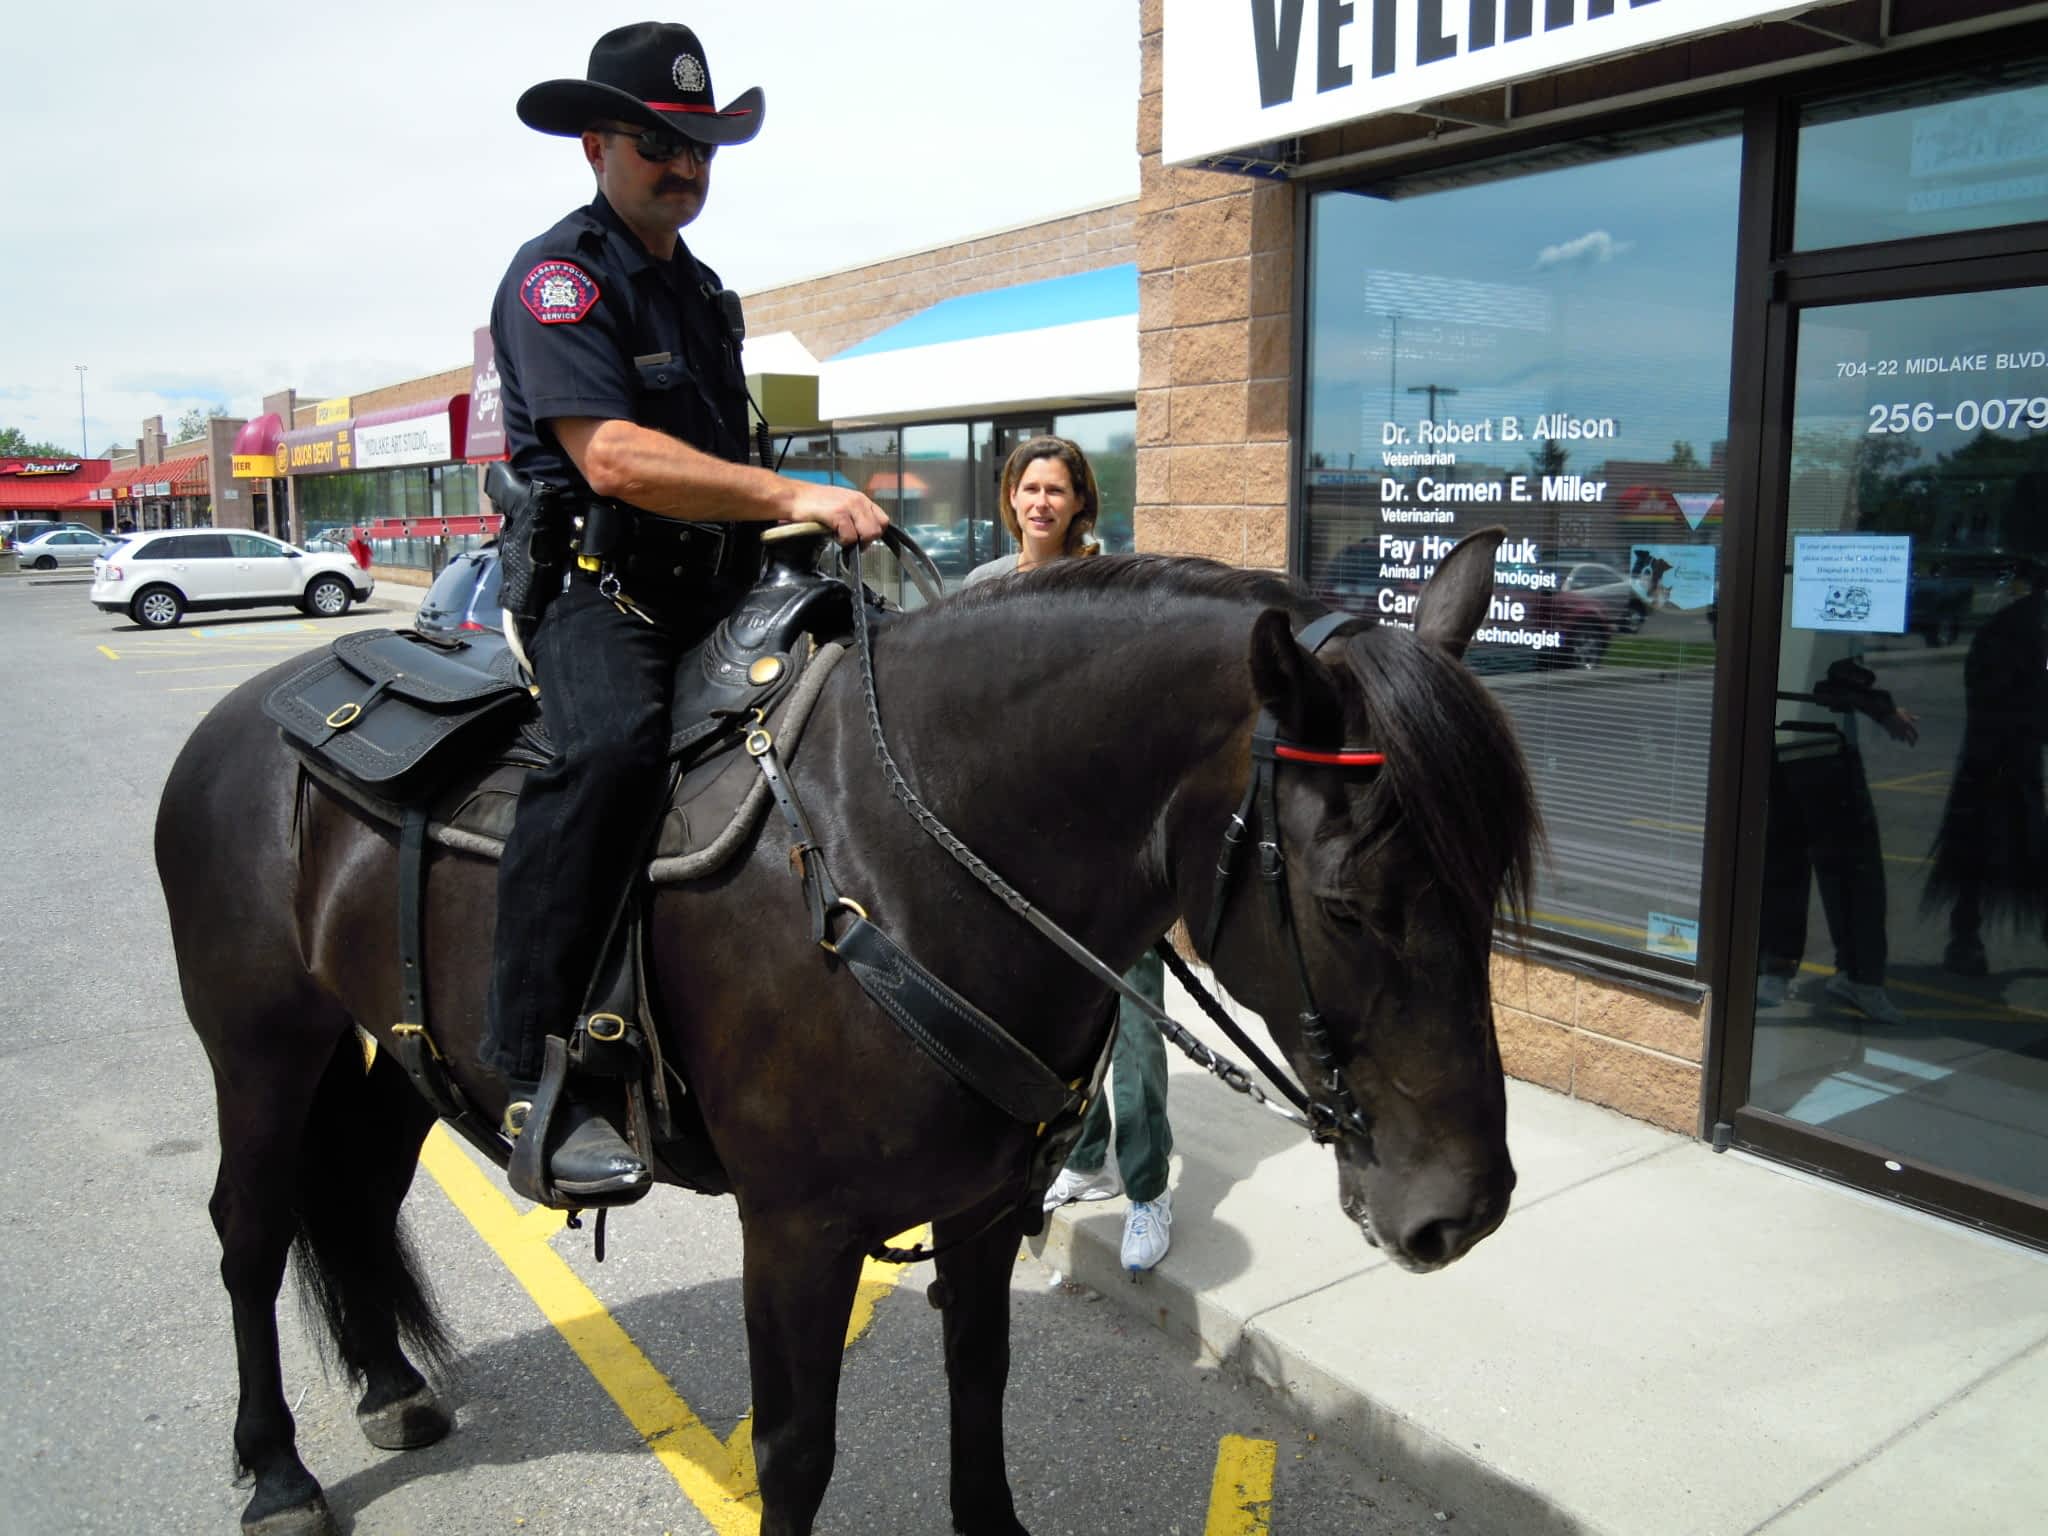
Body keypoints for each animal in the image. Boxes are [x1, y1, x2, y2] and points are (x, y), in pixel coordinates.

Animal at [159, 532, 1540, 1536]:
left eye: (1488, 885)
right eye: (1346, 903)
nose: (1461, 1211)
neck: (908, 863)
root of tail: (249, 711)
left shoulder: (982, 1210)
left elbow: (977, 1386)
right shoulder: (797, 1232)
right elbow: (795, 1452)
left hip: (391, 1053)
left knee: (354, 1200)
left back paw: (390, 1386)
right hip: (261, 1048)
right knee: (249, 1229)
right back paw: (275, 1472)